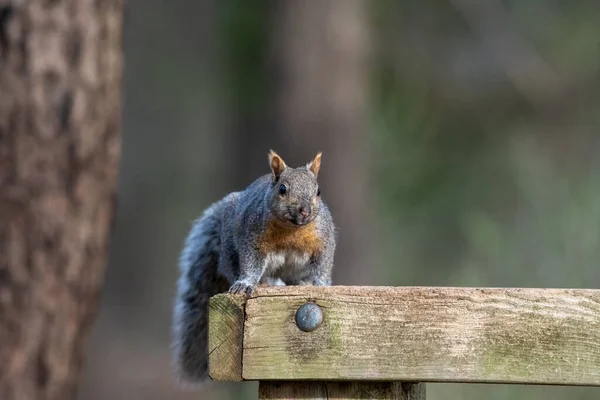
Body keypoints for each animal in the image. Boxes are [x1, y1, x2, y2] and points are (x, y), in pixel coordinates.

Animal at [171, 149, 336, 384]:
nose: (304, 211)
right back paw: (265, 283)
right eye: (282, 189)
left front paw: (321, 284)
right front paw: (246, 283)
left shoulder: (323, 240)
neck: (292, 230)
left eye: (318, 191)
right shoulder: (252, 238)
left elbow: (323, 264)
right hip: (230, 250)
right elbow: (250, 263)